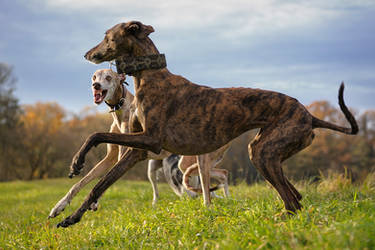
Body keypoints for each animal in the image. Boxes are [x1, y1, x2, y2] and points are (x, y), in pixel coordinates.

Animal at [55, 21, 358, 229]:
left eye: (107, 36)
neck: (150, 75)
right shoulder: (137, 151)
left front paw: (76, 163)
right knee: (295, 196)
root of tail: (309, 115)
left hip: (262, 153)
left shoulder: (150, 139)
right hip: (263, 151)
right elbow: (98, 184)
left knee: (293, 202)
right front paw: (71, 217)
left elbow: (95, 134)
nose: (87, 54)